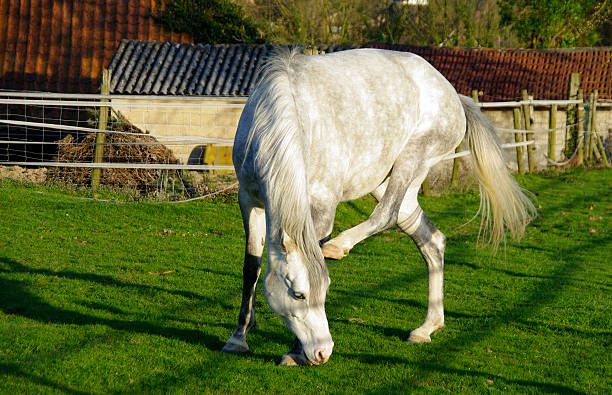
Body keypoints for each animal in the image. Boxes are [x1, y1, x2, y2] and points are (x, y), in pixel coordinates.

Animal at [221, 48, 536, 366]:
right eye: (298, 295)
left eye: (325, 290)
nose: (323, 352)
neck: (286, 118)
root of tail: (452, 94)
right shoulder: (249, 201)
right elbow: (252, 267)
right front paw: (239, 337)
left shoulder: (322, 206)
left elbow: (312, 259)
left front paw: (293, 353)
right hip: (388, 185)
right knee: (432, 240)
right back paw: (427, 327)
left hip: (411, 163)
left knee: (387, 214)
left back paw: (338, 247)